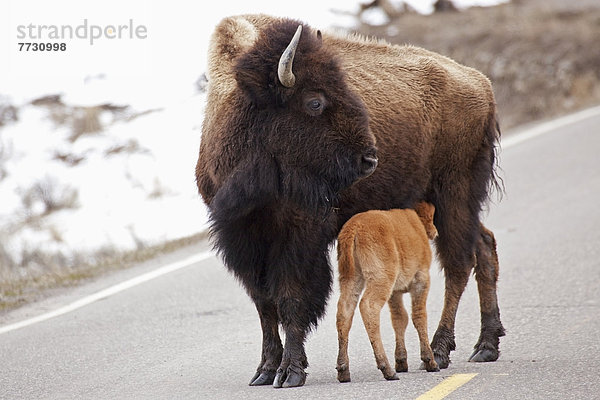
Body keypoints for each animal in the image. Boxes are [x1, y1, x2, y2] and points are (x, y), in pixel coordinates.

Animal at [338, 203, 440, 382]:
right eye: (431, 215)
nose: (435, 232)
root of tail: (354, 228)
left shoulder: (395, 292)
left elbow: (400, 318)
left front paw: (401, 362)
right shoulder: (421, 280)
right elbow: (419, 316)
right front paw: (430, 362)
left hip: (352, 278)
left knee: (344, 312)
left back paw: (343, 370)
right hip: (381, 279)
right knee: (368, 306)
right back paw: (387, 369)